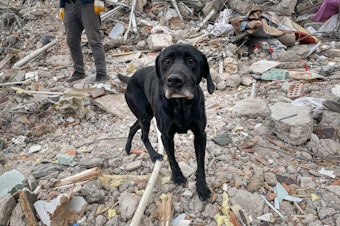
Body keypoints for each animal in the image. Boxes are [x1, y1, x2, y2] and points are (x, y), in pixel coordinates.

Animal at [118, 43, 215, 200]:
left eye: (191, 61)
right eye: (167, 61)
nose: (174, 80)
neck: (181, 104)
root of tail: (131, 78)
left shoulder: (200, 135)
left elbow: (200, 164)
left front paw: (202, 187)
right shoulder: (166, 136)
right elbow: (172, 158)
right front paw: (177, 176)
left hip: (146, 116)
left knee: (133, 127)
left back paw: (128, 147)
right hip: (145, 117)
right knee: (143, 135)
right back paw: (154, 155)